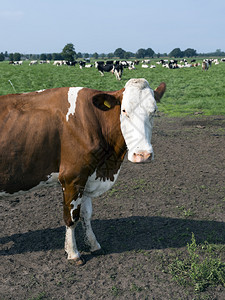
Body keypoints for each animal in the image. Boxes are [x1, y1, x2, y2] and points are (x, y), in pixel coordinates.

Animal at [0, 79, 165, 264]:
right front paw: (73, 253)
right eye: (124, 111)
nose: (143, 155)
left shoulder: (87, 176)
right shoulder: (72, 177)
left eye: (154, 111)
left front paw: (93, 244)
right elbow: (72, 218)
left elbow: (86, 214)